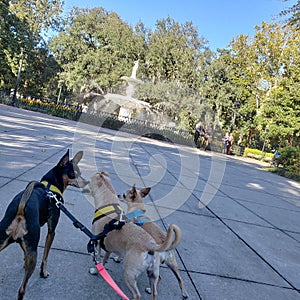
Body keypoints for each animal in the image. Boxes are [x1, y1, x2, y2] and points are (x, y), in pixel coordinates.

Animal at [0, 150, 88, 300]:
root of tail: (20, 211)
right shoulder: (51, 231)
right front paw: (43, 273)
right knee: (22, 289)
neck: (50, 187)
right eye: (73, 173)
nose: (87, 182)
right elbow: (46, 256)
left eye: (80, 172)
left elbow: (25, 253)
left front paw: (24, 262)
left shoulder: (27, 246)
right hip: (34, 250)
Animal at [88, 171, 179, 300]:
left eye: (89, 180)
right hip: (153, 274)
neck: (108, 203)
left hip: (129, 273)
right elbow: (105, 260)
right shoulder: (108, 248)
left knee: (137, 294)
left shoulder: (97, 243)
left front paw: (95, 270)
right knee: (155, 292)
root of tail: (151, 245)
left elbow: (99, 260)